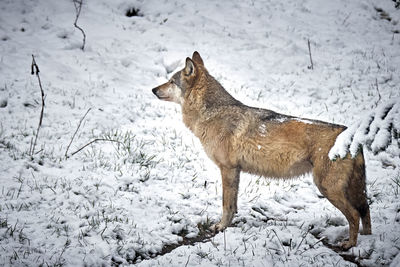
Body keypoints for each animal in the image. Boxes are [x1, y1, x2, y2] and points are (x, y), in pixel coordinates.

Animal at [151, 51, 372, 249]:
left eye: (171, 81)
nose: (153, 89)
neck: (211, 113)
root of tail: (351, 135)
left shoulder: (227, 169)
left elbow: (225, 204)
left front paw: (220, 227)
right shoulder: (235, 171)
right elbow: (233, 205)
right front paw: (228, 226)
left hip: (326, 187)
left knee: (355, 215)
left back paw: (349, 245)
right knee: (366, 211)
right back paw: (367, 241)